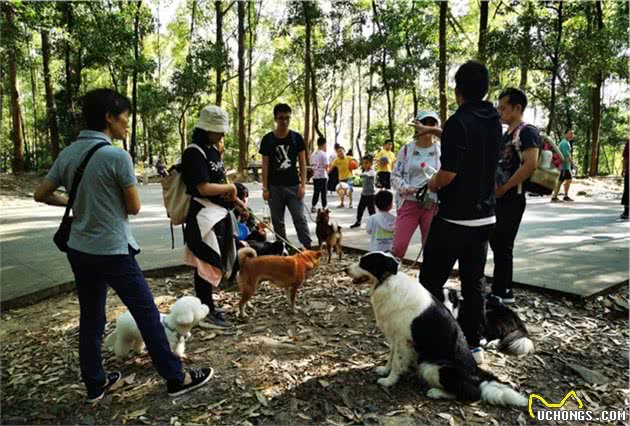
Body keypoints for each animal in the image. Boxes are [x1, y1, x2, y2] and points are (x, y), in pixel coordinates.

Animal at [348, 253, 532, 406]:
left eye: (364, 263)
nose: (345, 269)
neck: (387, 282)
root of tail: (477, 379)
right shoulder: (394, 337)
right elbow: (391, 357)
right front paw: (384, 371)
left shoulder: (402, 339)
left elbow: (397, 362)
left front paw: (389, 381)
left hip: (432, 367)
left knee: (469, 394)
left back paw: (436, 392)